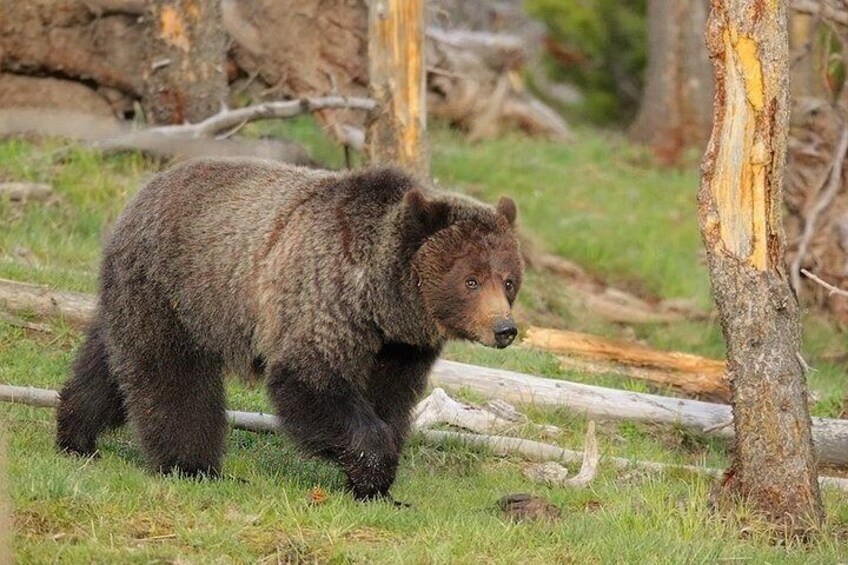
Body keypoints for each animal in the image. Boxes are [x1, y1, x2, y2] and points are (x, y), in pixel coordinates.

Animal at [56, 158, 524, 498]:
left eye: (508, 280)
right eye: (471, 279)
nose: (504, 328)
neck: (381, 301)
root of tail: (143, 191)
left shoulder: (398, 346)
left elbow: (388, 400)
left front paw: (375, 476)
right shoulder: (322, 300)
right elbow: (309, 381)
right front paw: (373, 471)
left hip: (142, 297)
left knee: (107, 363)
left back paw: (76, 434)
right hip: (178, 290)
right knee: (172, 377)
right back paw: (192, 465)